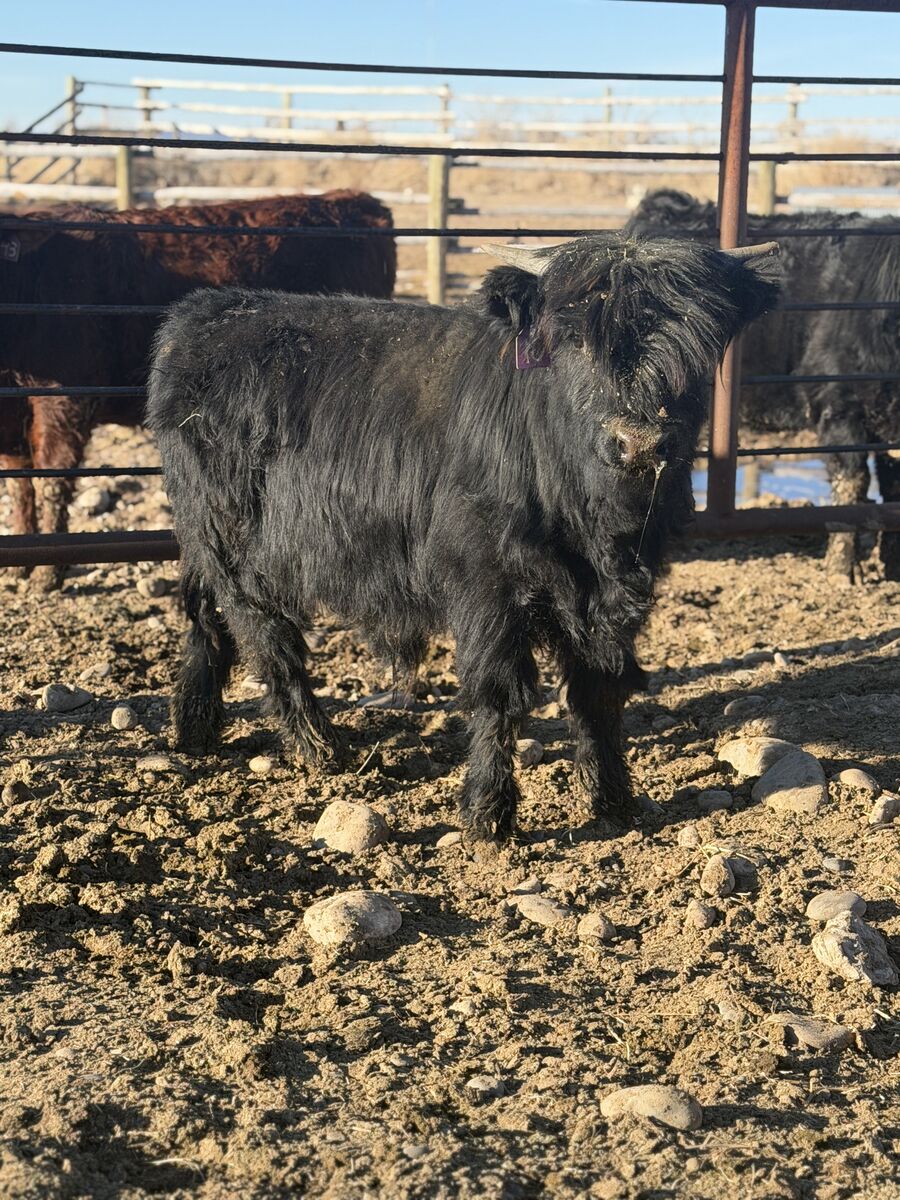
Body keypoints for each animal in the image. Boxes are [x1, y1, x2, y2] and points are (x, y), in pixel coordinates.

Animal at [147, 232, 780, 842]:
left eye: (696, 345)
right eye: (576, 340)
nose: (641, 442)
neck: (592, 522)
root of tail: (204, 315)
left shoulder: (618, 591)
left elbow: (598, 691)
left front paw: (614, 799)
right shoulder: (487, 584)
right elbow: (499, 692)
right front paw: (487, 812)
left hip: (203, 538)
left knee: (204, 614)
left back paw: (195, 725)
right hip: (233, 546)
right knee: (266, 636)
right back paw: (321, 749)